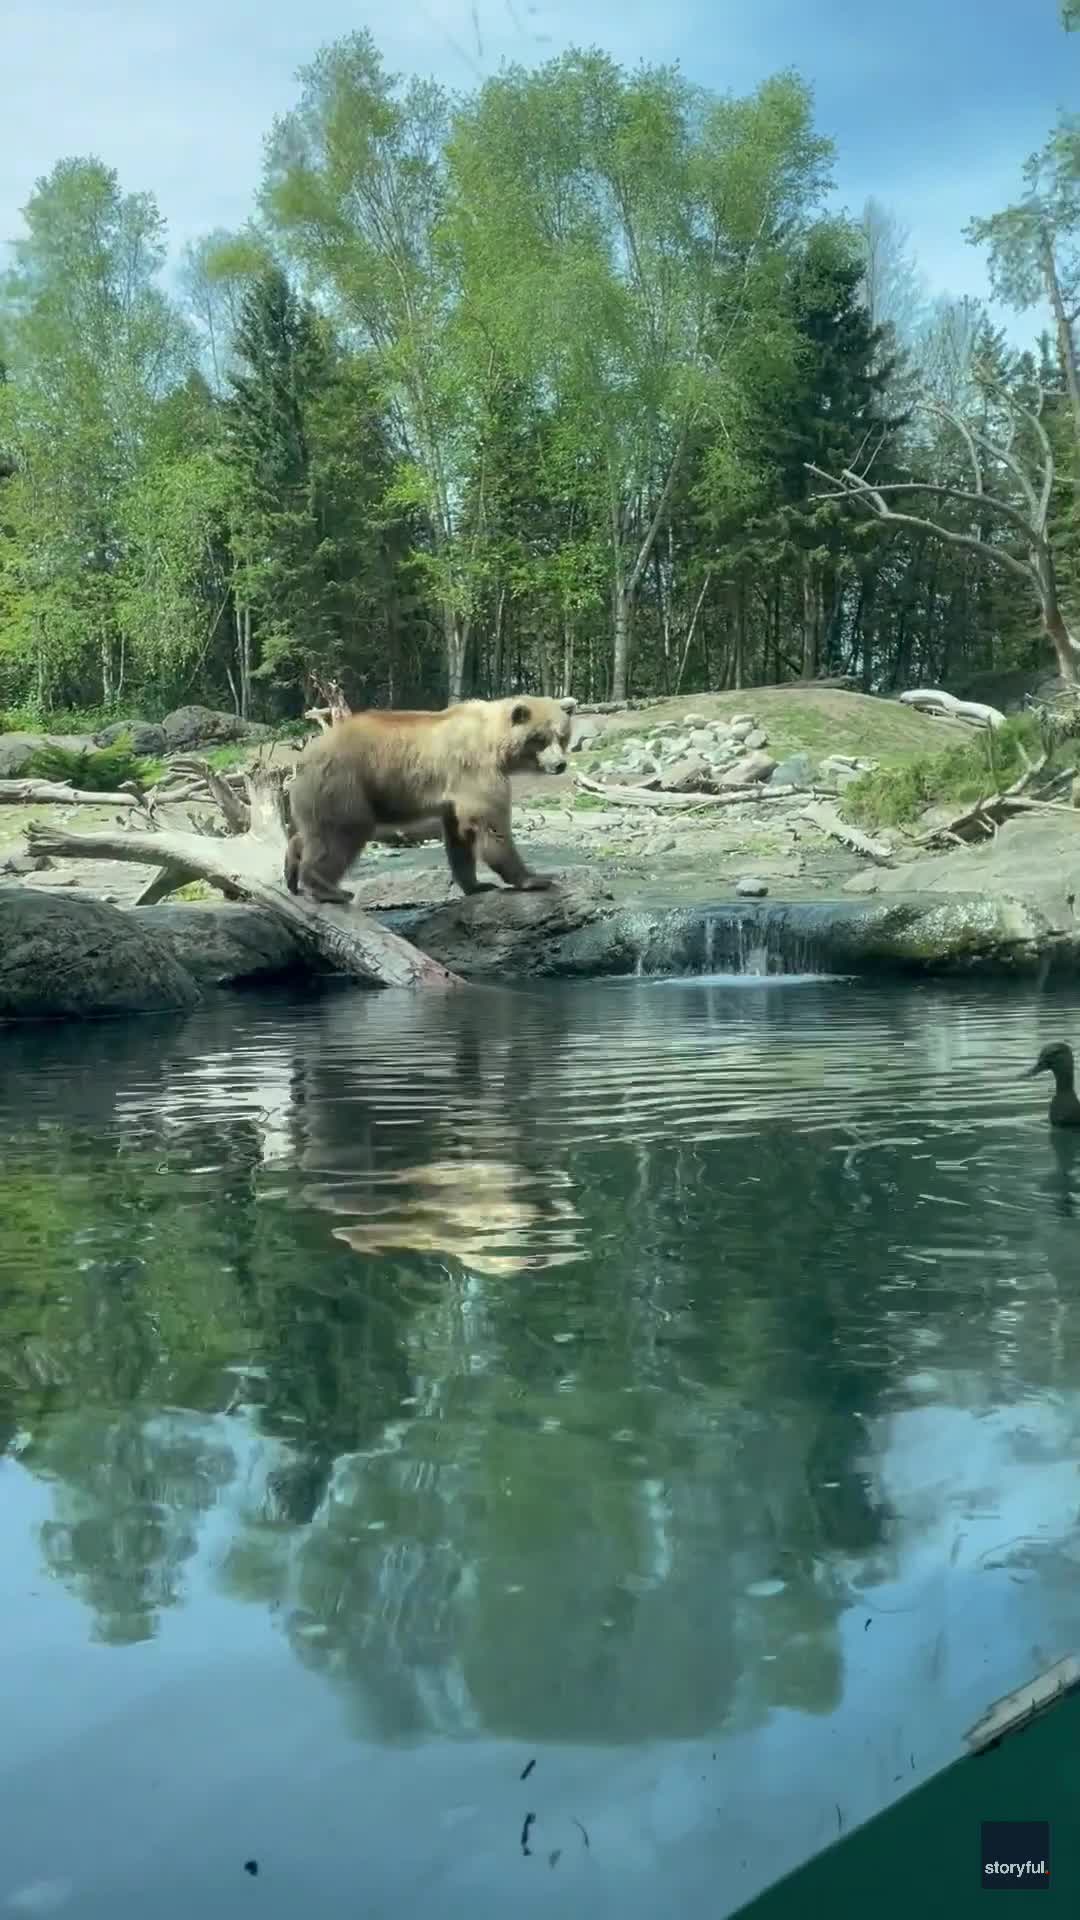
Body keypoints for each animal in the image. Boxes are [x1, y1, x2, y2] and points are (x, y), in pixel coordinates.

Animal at [283, 694, 577, 905]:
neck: (493, 744)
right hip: (345, 783)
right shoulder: (475, 770)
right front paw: (535, 878)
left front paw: (477, 884)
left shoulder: (456, 794)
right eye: (539, 738)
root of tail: (306, 755)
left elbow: (460, 836)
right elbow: (491, 823)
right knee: (342, 831)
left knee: (314, 831)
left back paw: (292, 872)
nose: (559, 764)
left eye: (562, 736)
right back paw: (328, 889)